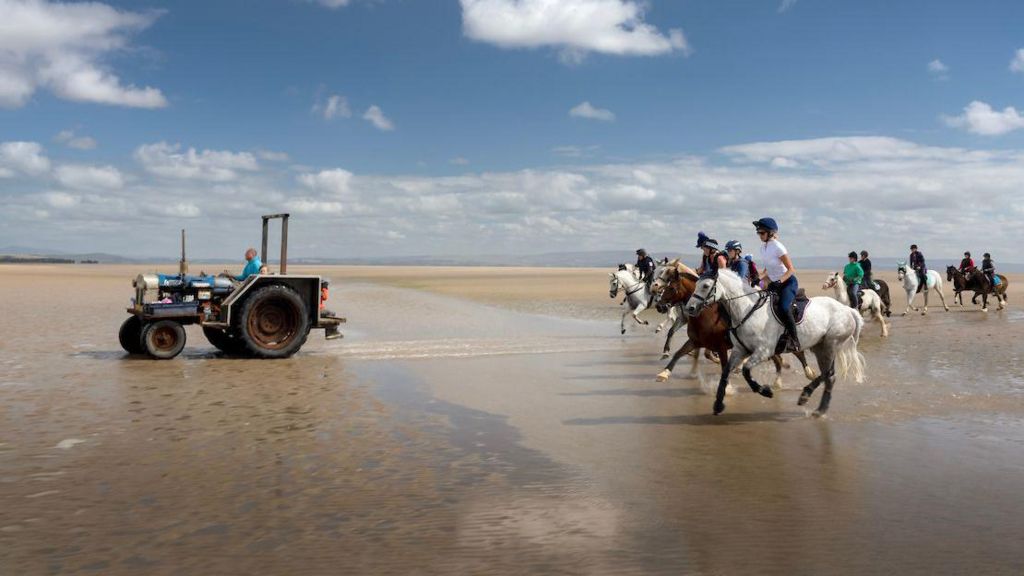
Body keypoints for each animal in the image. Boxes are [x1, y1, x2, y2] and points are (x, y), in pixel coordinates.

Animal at [647, 260, 815, 393]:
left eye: (671, 288)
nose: (659, 306)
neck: (706, 315)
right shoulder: (695, 341)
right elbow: (679, 353)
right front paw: (663, 373)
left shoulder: (721, 346)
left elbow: (721, 363)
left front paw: (727, 387)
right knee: (778, 360)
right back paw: (778, 381)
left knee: (798, 352)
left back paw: (809, 373)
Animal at [688, 266, 864, 414]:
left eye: (705, 286)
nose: (690, 308)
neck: (747, 309)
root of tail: (847, 310)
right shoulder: (740, 350)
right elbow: (725, 373)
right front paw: (718, 404)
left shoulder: (763, 351)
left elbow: (746, 371)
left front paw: (765, 391)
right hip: (820, 347)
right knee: (828, 375)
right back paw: (809, 399)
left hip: (829, 345)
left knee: (829, 375)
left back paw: (817, 406)